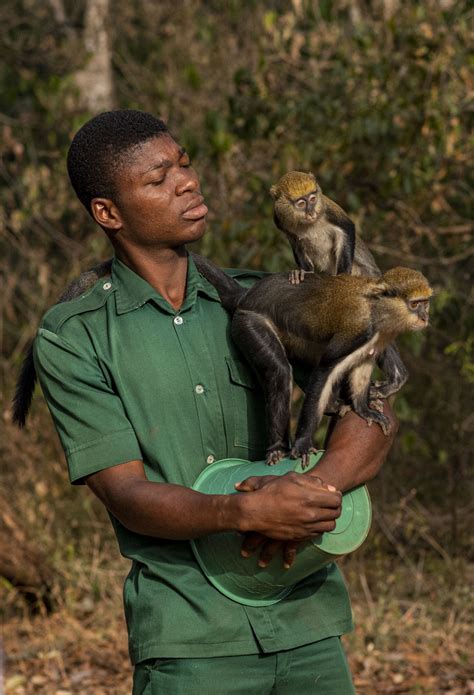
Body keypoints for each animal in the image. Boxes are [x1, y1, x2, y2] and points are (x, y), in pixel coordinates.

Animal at [191, 253, 432, 470]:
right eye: (414, 305)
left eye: (425, 304)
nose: (425, 317)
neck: (378, 309)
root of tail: (247, 295)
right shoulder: (357, 333)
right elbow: (325, 370)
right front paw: (303, 444)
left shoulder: (375, 341)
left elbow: (360, 370)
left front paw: (363, 408)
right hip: (249, 322)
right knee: (279, 371)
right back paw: (277, 447)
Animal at [272, 169, 410, 402]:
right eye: (301, 203)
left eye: (312, 198)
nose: (311, 212)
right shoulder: (280, 219)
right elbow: (296, 241)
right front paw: (303, 272)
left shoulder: (328, 209)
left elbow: (346, 229)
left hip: (365, 276)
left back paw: (397, 380)